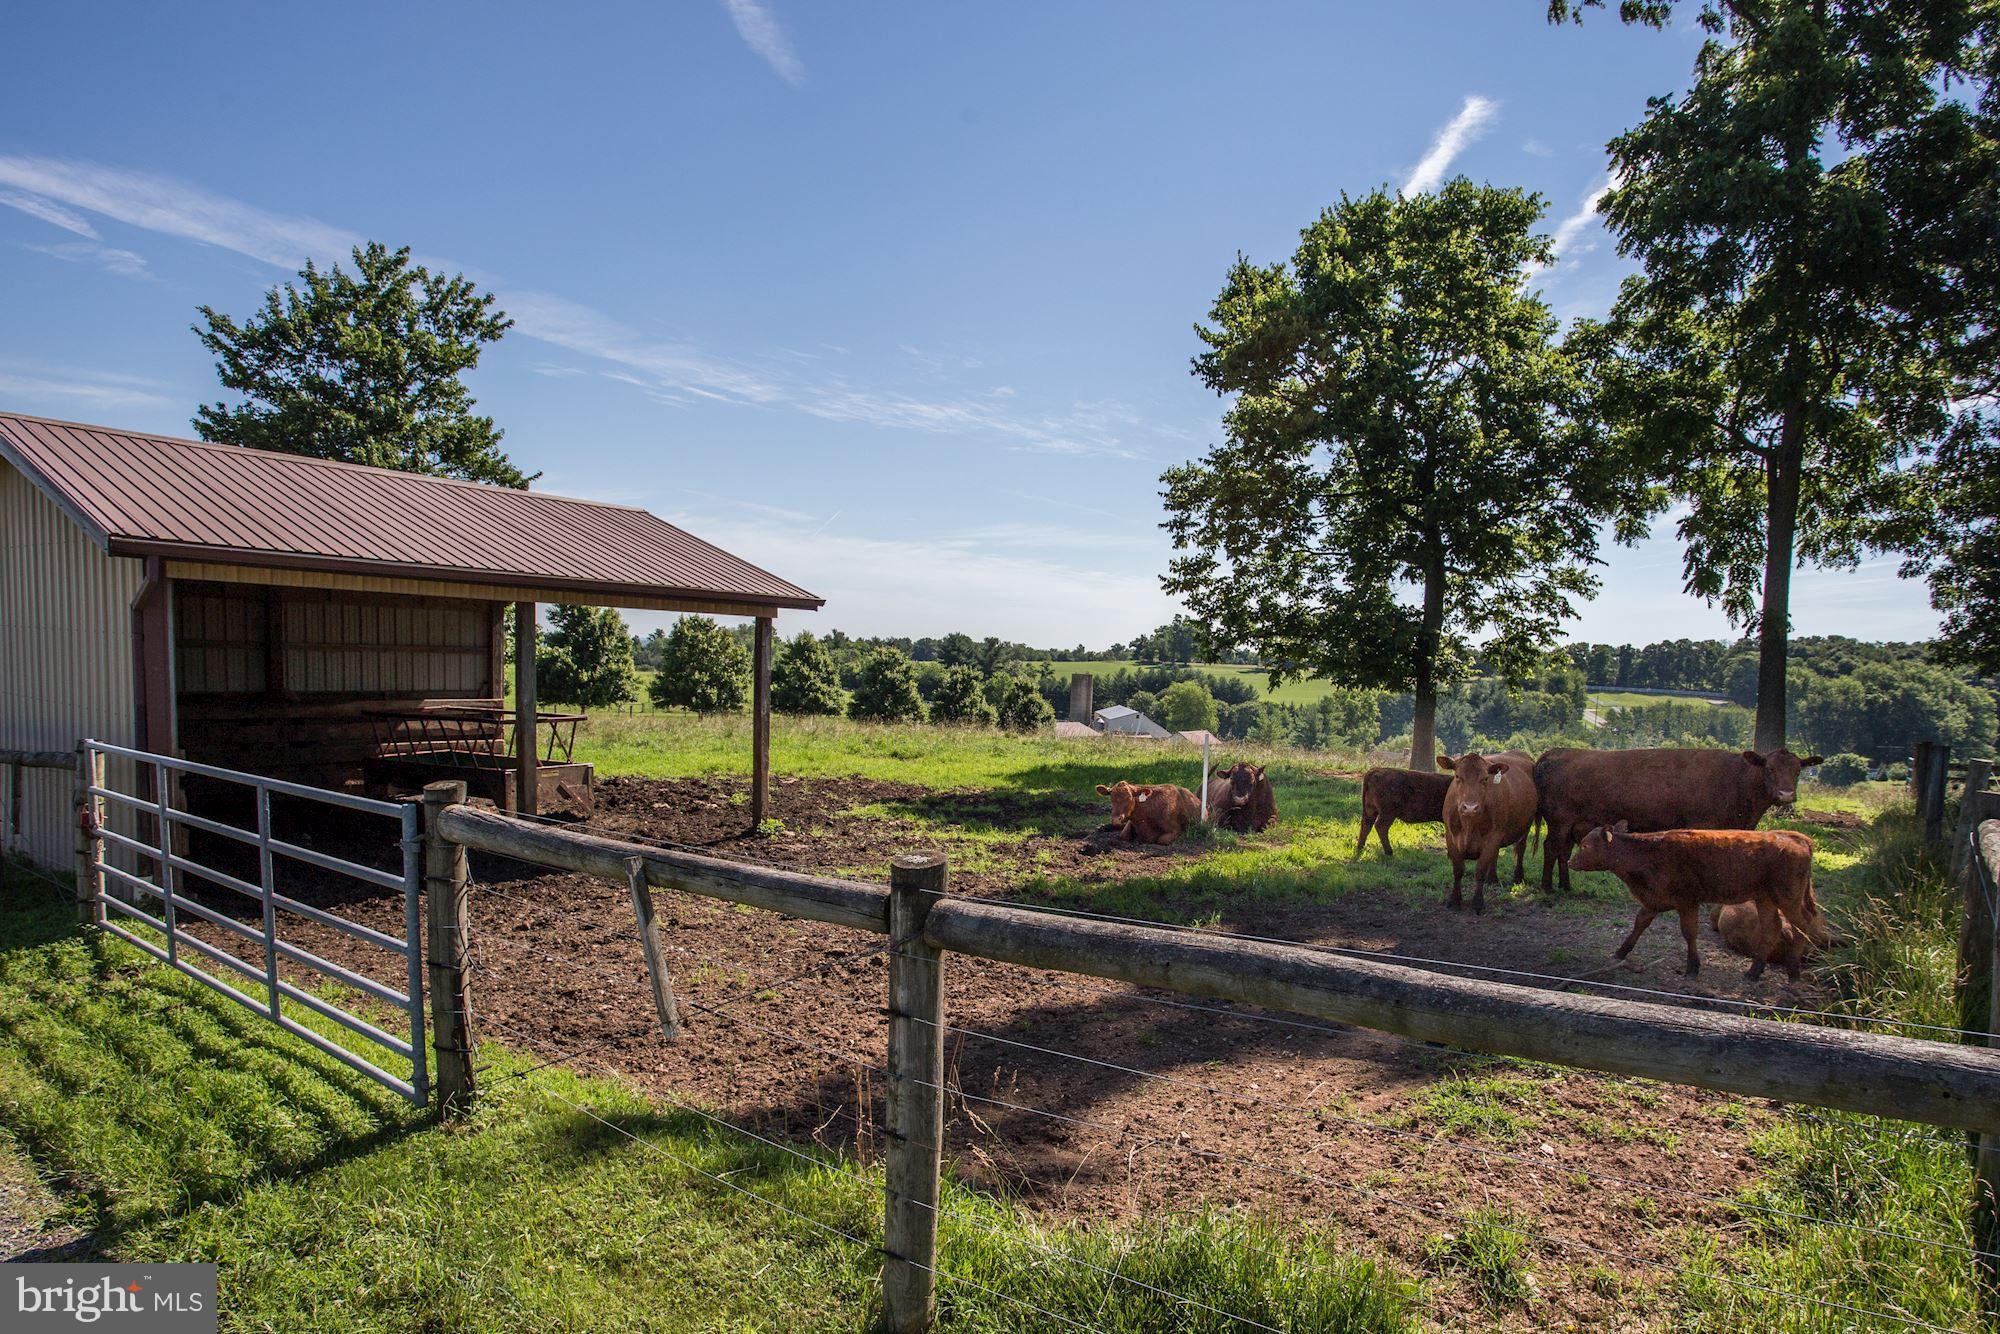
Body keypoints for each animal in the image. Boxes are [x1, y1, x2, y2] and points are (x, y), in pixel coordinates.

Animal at [1439, 751, 1538, 914]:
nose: (1470, 808)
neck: (1469, 825)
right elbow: (1458, 870)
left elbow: (1480, 871)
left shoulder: (1493, 837)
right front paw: (1454, 900)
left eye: (1485, 779)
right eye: (1458, 776)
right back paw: (1492, 879)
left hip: (1525, 826)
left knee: (1520, 849)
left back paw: (1518, 877)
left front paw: (1478, 903)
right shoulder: (1450, 836)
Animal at [1534, 747, 1825, 895]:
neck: (1736, 779)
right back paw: (1547, 889)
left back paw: (1565, 886)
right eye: (1770, 769)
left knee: (1563, 853)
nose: (1786, 794)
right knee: (1551, 849)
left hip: (1572, 826)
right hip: (1559, 822)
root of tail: (1556, 752)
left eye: (1798, 771)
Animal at [1569, 823, 1830, 979]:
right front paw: (1620, 953)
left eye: (1585, 845)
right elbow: (1639, 924)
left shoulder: (1687, 902)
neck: (1648, 852)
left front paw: (1692, 968)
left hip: (1788, 897)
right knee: (1771, 928)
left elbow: (1689, 932)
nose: (1571, 862)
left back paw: (1793, 970)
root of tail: (1795, 837)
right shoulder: (1654, 901)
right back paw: (1754, 972)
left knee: (1802, 925)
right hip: (1764, 898)